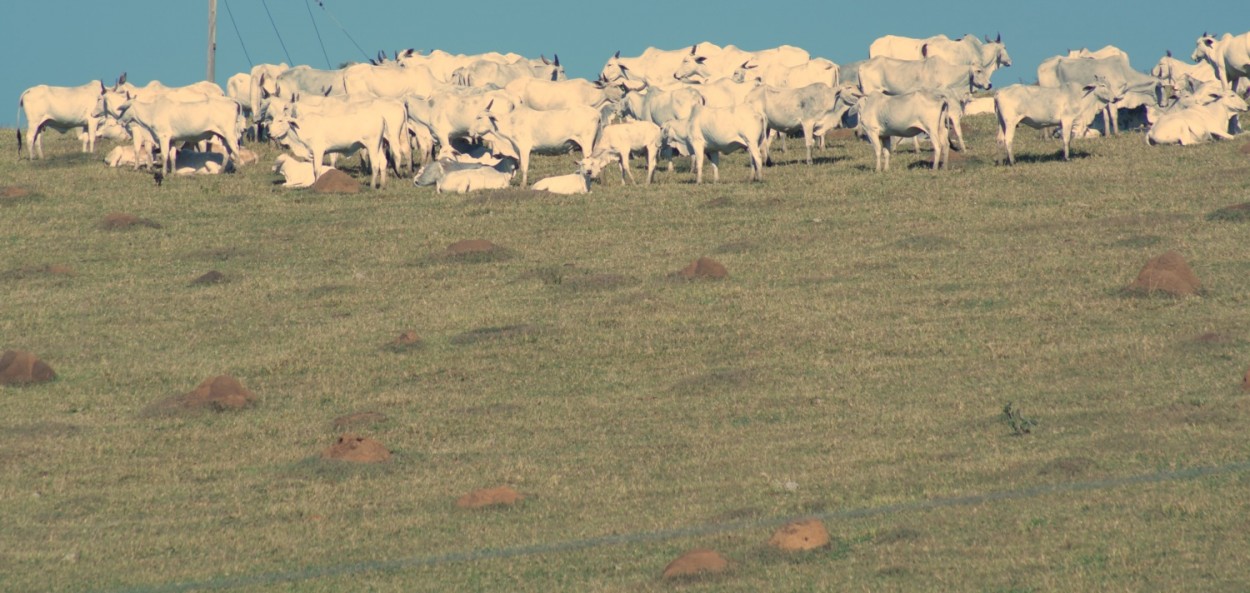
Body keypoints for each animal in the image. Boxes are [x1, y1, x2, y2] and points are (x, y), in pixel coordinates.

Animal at [470, 100, 602, 185]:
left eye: (479, 117)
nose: (471, 132)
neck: (511, 122)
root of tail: (597, 113)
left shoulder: (524, 147)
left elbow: (524, 166)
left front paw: (523, 185)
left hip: (586, 143)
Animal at [995, 77, 1125, 163]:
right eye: (1102, 85)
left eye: (1109, 84)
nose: (1115, 98)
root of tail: (999, 92)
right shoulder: (1067, 119)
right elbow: (1066, 139)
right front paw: (1066, 158)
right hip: (1011, 122)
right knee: (1008, 139)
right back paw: (1012, 161)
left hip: (1002, 123)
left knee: (1000, 140)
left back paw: (1001, 161)